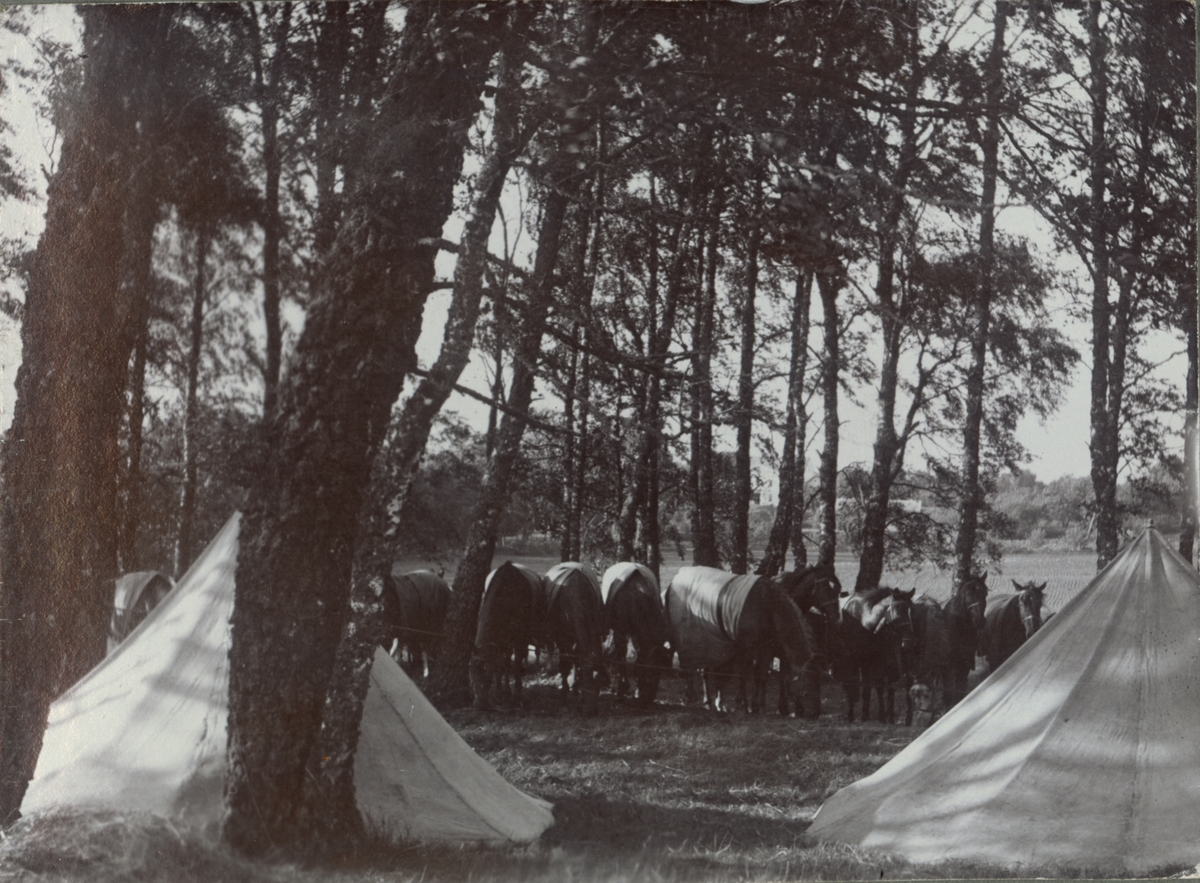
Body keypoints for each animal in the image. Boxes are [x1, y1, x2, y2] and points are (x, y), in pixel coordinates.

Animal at [468, 561, 544, 715]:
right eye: (471, 673)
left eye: (486, 673)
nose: (478, 705)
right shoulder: (498, 640)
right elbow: (500, 664)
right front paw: (500, 693)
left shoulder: (521, 637)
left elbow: (516, 664)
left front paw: (517, 697)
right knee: (507, 659)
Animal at [542, 561, 609, 715]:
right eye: (588, 682)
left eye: (598, 684)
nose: (591, 711)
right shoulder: (562, 639)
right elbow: (564, 666)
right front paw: (564, 699)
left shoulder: (593, 632)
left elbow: (579, 659)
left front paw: (576, 689)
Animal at [600, 566, 676, 705]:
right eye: (650, 672)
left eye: (661, 672)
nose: (648, 699)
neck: (635, 597)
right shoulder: (620, 631)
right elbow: (621, 657)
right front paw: (621, 689)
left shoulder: (638, 635)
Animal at [662, 566, 820, 719]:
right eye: (806, 688)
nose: (813, 713)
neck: (767, 604)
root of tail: (674, 580)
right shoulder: (746, 648)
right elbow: (745, 674)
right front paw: (743, 705)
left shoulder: (767, 649)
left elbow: (762, 675)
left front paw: (759, 706)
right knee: (694, 669)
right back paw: (695, 698)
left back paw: (714, 702)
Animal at [940, 568, 988, 705]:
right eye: (968, 593)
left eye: (985, 593)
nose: (979, 621)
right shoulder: (948, 665)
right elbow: (949, 691)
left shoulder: (965, 662)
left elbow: (960, 688)